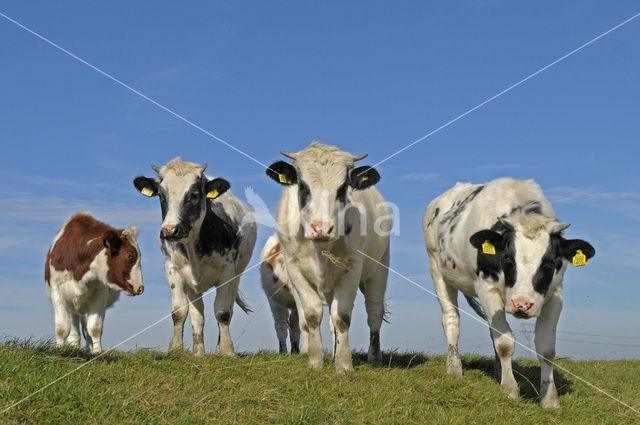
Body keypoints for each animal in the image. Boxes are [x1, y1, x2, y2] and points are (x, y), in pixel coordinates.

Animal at [134, 156, 256, 354]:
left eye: (193, 195)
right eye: (161, 196)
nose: (169, 230)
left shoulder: (228, 271)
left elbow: (222, 312)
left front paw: (227, 351)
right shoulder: (172, 268)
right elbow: (180, 312)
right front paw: (176, 349)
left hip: (238, 274)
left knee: (228, 309)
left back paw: (218, 349)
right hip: (191, 284)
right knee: (197, 313)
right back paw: (198, 352)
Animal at [264, 142, 390, 372]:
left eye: (342, 188)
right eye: (303, 186)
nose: (322, 229)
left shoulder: (352, 267)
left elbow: (342, 318)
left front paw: (344, 364)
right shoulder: (294, 268)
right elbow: (313, 317)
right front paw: (316, 361)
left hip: (380, 266)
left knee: (374, 311)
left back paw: (375, 357)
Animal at [424, 176, 596, 408]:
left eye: (550, 261)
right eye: (506, 257)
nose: (522, 304)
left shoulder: (555, 294)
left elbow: (546, 349)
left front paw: (549, 399)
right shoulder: (487, 288)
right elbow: (505, 342)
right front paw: (509, 390)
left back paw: (498, 371)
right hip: (437, 268)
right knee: (451, 319)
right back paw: (454, 368)